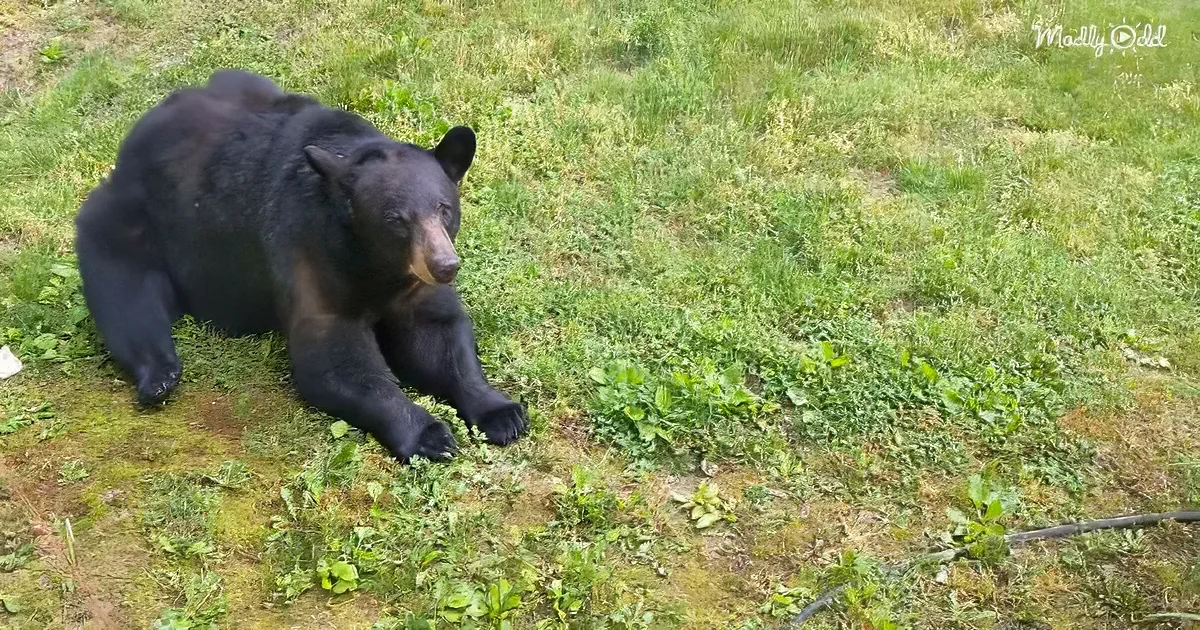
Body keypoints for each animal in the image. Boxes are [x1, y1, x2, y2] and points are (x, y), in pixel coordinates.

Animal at [74, 69, 528, 460]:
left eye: (444, 209)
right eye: (396, 220)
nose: (444, 265)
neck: (377, 266)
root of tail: (135, 135)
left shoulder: (413, 284)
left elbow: (438, 335)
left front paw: (502, 412)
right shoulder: (311, 252)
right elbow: (334, 357)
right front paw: (429, 433)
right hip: (130, 223)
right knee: (127, 299)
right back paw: (160, 374)